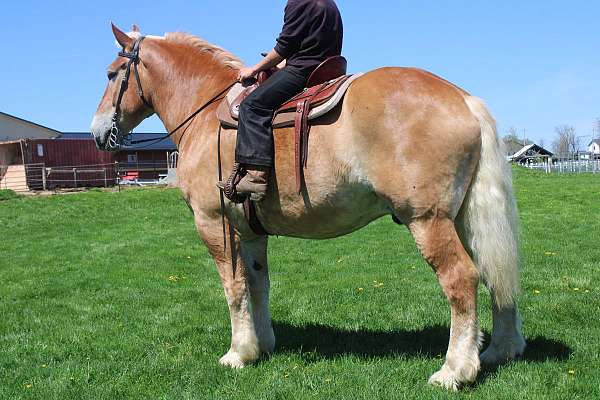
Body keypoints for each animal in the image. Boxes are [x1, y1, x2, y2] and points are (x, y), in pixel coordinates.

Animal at [90, 25, 524, 390]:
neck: (207, 114)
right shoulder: (250, 231)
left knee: (461, 279)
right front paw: (261, 345)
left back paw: (455, 370)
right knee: (494, 272)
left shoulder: (215, 224)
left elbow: (233, 287)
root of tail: (463, 100)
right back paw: (500, 350)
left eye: (112, 74)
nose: (97, 133)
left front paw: (237, 353)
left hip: (428, 221)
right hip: (465, 218)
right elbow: (258, 284)